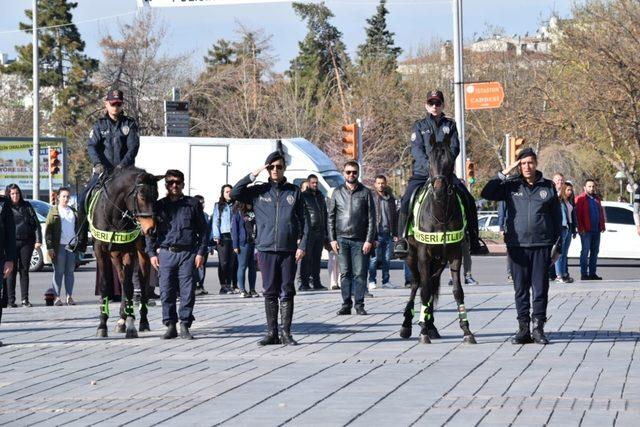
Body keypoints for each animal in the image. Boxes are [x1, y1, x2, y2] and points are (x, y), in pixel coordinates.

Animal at [87, 167, 162, 338]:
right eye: (141, 196)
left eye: (157, 196)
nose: (152, 229)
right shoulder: (100, 250)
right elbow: (105, 284)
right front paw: (102, 324)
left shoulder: (129, 251)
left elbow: (129, 286)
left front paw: (131, 324)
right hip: (115, 254)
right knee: (121, 279)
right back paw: (121, 319)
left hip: (141, 253)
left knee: (141, 281)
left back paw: (141, 321)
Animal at [400, 145, 476, 346]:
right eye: (429, 162)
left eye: (450, 163)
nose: (439, 190)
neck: (440, 213)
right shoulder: (423, 256)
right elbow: (424, 290)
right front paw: (422, 332)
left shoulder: (455, 255)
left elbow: (457, 291)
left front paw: (466, 330)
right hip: (412, 257)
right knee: (417, 284)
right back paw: (408, 325)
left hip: (439, 262)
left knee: (431, 283)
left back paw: (430, 325)